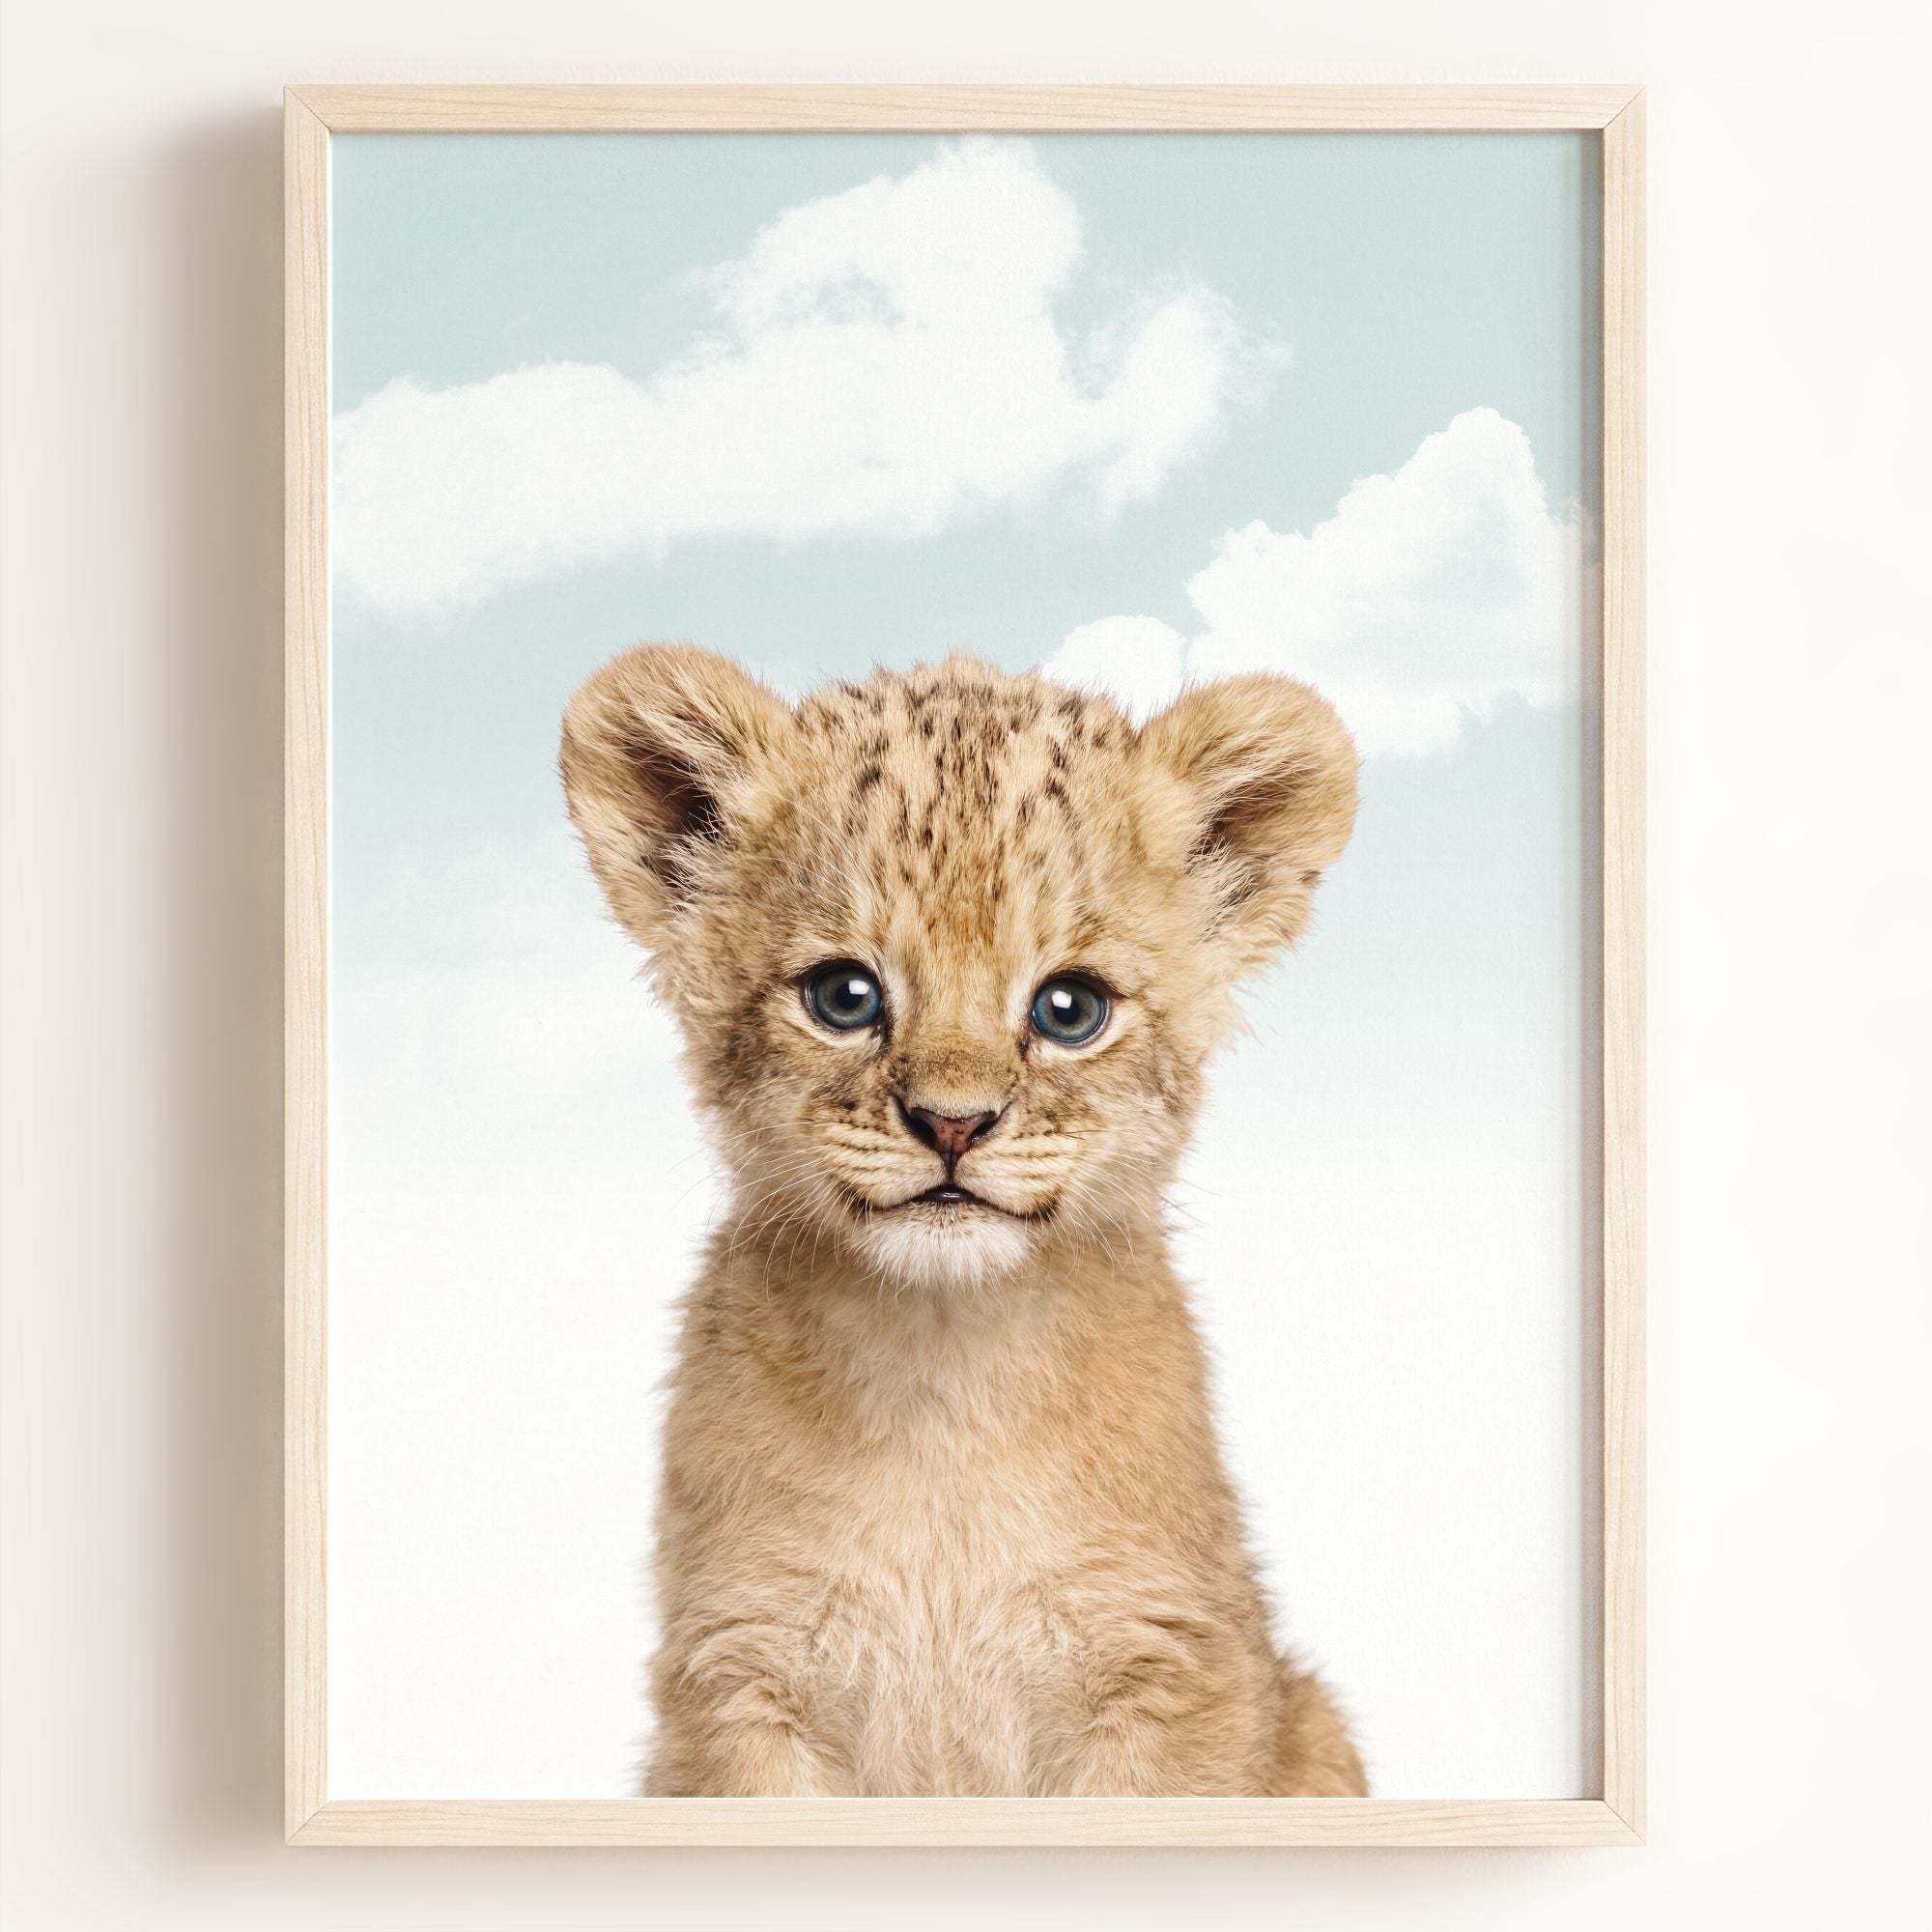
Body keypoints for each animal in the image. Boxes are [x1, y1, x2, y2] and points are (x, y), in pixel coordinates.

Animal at [561, 645, 1365, 1797]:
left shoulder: (1168, 1669)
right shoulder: (740, 1676)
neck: (942, 1376)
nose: (952, 1122)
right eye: (843, 996)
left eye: (1069, 1008)